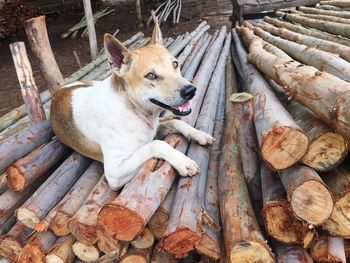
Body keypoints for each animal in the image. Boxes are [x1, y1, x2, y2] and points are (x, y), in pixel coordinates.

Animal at [49, 19, 213, 191]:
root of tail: (60, 89)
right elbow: (156, 144)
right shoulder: (115, 172)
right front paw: (183, 161)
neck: (132, 108)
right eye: (151, 76)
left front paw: (198, 134)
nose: (191, 90)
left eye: (175, 64)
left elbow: (176, 122)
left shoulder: (156, 127)